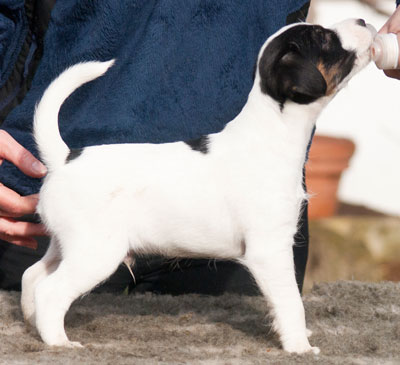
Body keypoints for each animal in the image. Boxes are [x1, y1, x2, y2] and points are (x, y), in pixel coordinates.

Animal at [21, 18, 372, 352]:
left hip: (67, 245)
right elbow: (291, 303)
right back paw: (59, 342)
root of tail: (63, 158)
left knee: (33, 275)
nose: (364, 22)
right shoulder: (270, 249)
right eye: (323, 38)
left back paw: (31, 321)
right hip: (96, 252)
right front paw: (299, 346)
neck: (272, 132)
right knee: (50, 291)